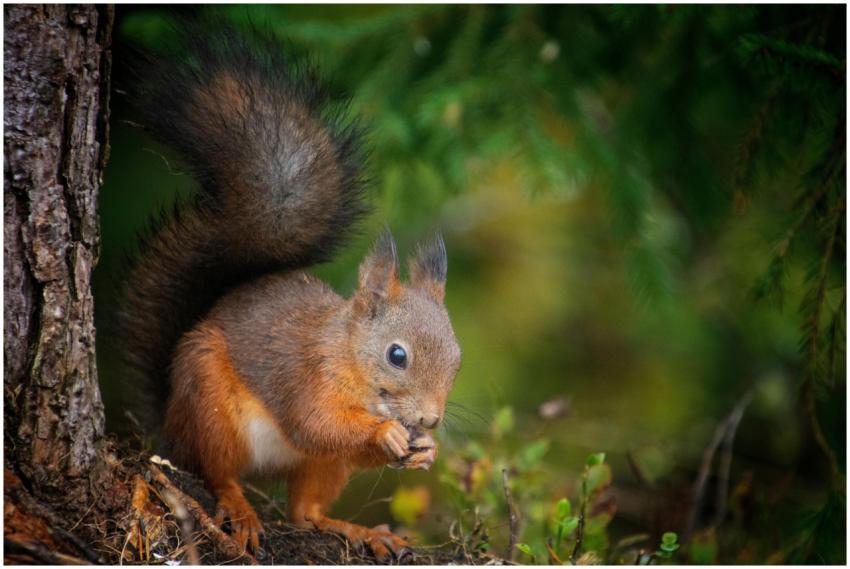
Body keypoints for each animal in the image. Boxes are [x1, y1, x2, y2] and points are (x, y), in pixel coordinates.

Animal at [118, 22, 461, 559]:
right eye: (397, 355)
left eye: (457, 359)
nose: (428, 421)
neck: (347, 356)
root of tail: (169, 423)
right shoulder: (304, 374)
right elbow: (315, 423)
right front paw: (386, 432)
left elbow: (334, 444)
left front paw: (426, 452)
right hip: (212, 409)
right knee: (217, 472)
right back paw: (239, 508)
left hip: (320, 467)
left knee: (306, 511)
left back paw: (356, 530)